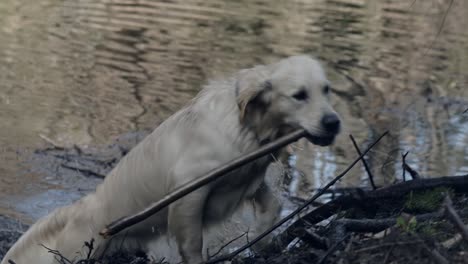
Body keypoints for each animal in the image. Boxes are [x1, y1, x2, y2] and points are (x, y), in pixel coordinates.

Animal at [2, 54, 340, 262]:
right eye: (299, 95)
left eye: (326, 89)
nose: (334, 122)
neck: (246, 127)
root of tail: (76, 210)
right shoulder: (189, 193)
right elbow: (191, 243)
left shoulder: (248, 179)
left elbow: (273, 205)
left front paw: (262, 238)